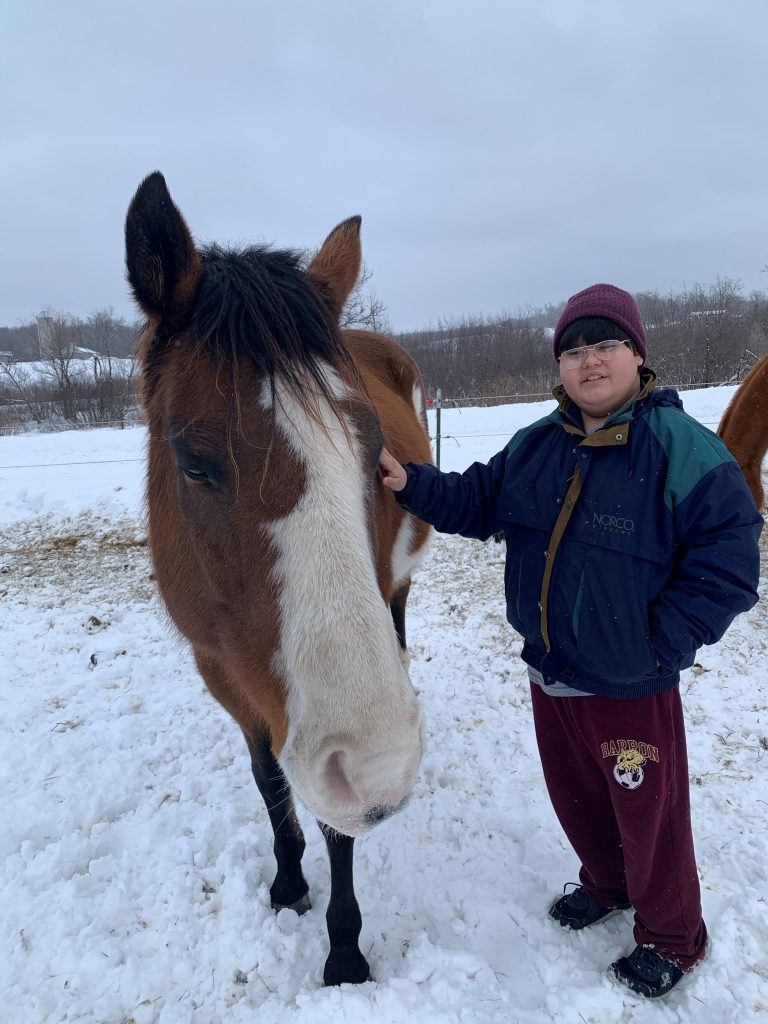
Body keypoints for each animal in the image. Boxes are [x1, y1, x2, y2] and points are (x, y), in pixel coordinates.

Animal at [126, 172, 434, 987]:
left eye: (373, 450)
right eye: (195, 463)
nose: (384, 764)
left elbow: (336, 828)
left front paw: (346, 953)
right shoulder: (223, 672)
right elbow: (271, 783)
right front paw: (290, 883)